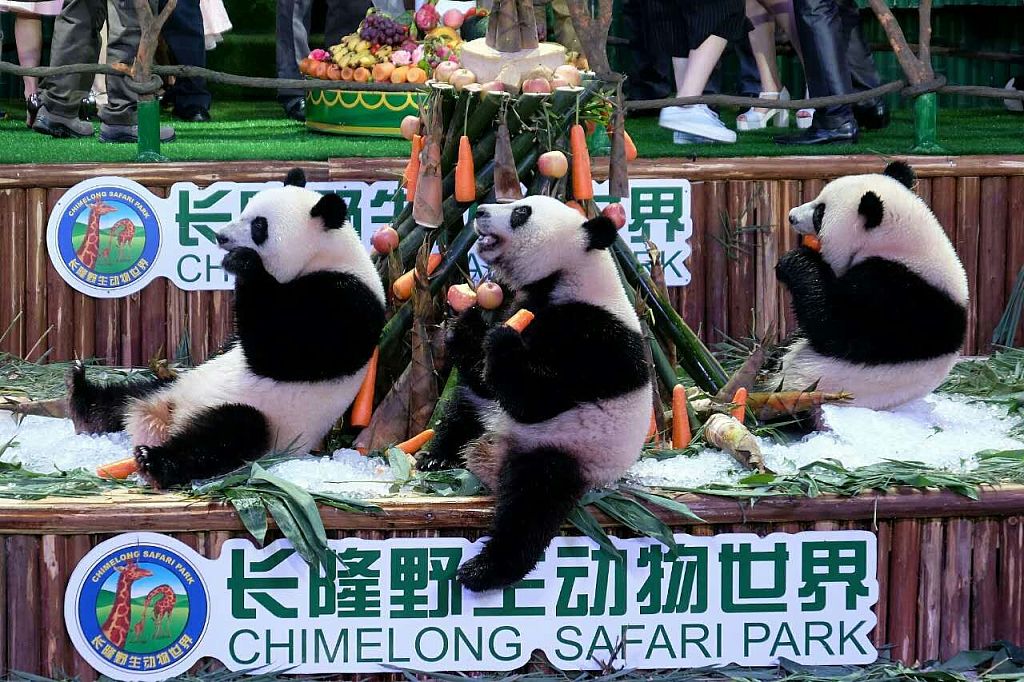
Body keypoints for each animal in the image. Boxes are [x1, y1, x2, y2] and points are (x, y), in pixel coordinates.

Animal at [66, 169, 385, 489]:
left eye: (259, 225)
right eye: (245, 211)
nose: (221, 236)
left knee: (228, 435)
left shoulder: (345, 303)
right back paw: (82, 396)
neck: (325, 255)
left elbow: (280, 350)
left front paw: (243, 263)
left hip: (270, 424)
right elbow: (236, 344)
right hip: (176, 383)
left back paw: (153, 460)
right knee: (128, 394)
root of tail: (165, 419)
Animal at [417, 192, 651, 589]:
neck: (567, 277)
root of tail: (495, 450)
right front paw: (464, 319)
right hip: (489, 415)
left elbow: (537, 399)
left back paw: (484, 569)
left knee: (532, 503)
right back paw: (437, 456)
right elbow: (483, 377)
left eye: (521, 212)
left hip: (569, 448)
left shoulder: (596, 337)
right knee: (462, 409)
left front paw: (504, 341)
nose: (480, 211)